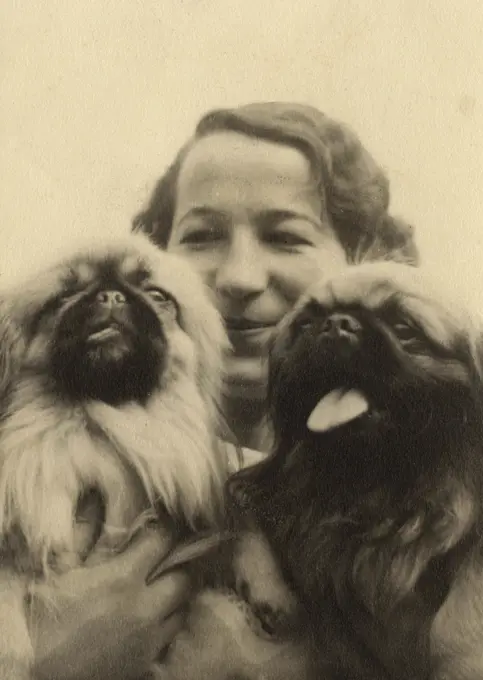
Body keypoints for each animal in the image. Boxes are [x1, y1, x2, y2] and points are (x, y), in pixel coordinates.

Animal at [228, 262, 483, 680]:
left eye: (404, 328)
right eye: (306, 321)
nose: (336, 324)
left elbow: (458, 619)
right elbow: (244, 519)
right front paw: (269, 589)